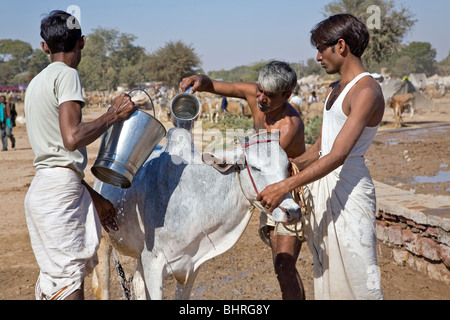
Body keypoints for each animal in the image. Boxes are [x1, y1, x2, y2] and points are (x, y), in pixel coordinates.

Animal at [91, 127, 302, 300]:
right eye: (256, 167)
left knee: (136, 283)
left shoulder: (191, 267)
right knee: (103, 289)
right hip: (105, 242)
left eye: (287, 166)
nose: (293, 211)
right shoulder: (153, 263)